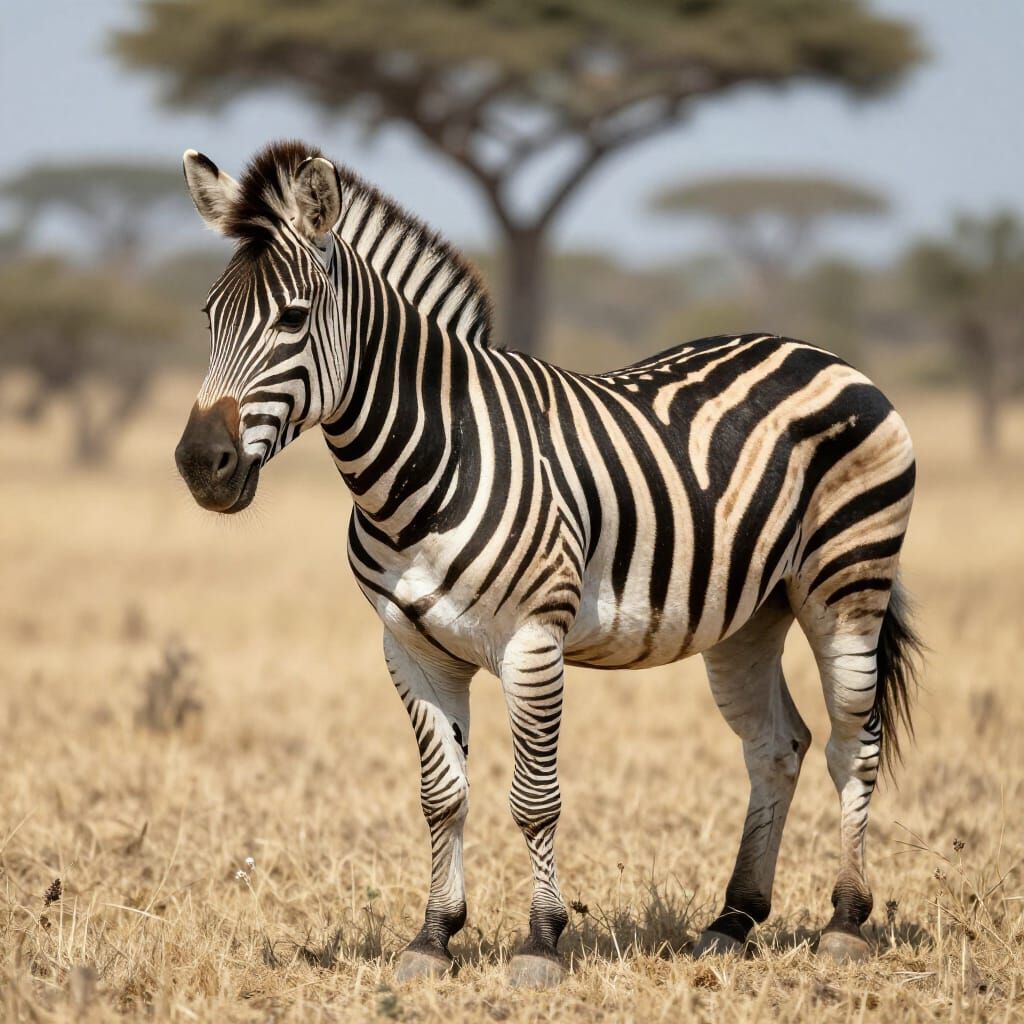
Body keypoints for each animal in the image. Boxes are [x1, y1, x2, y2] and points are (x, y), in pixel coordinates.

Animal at [174, 141, 920, 988]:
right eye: (209, 319)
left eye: (292, 319)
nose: (200, 465)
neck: (430, 457)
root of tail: (816, 351)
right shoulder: (411, 649)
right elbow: (442, 796)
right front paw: (432, 938)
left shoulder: (534, 642)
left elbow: (534, 798)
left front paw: (540, 942)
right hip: (749, 616)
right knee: (776, 747)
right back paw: (733, 921)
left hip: (847, 587)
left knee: (851, 745)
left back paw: (845, 922)